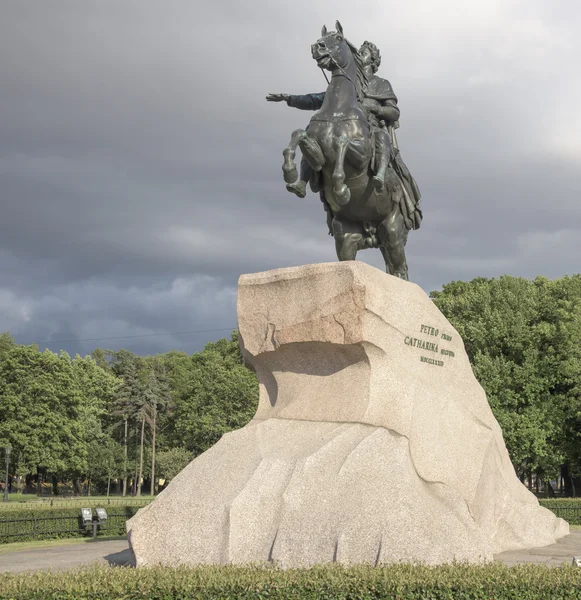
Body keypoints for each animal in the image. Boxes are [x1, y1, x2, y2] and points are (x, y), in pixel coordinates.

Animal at [284, 21, 410, 278]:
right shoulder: (315, 151)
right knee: (350, 257)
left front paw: (341, 188)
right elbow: (298, 136)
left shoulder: (360, 156)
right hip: (346, 237)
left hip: (393, 233)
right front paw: (291, 174)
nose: (316, 47)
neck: (337, 109)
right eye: (322, 38)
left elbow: (343, 143)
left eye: (338, 38)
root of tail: (371, 231)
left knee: (400, 271)